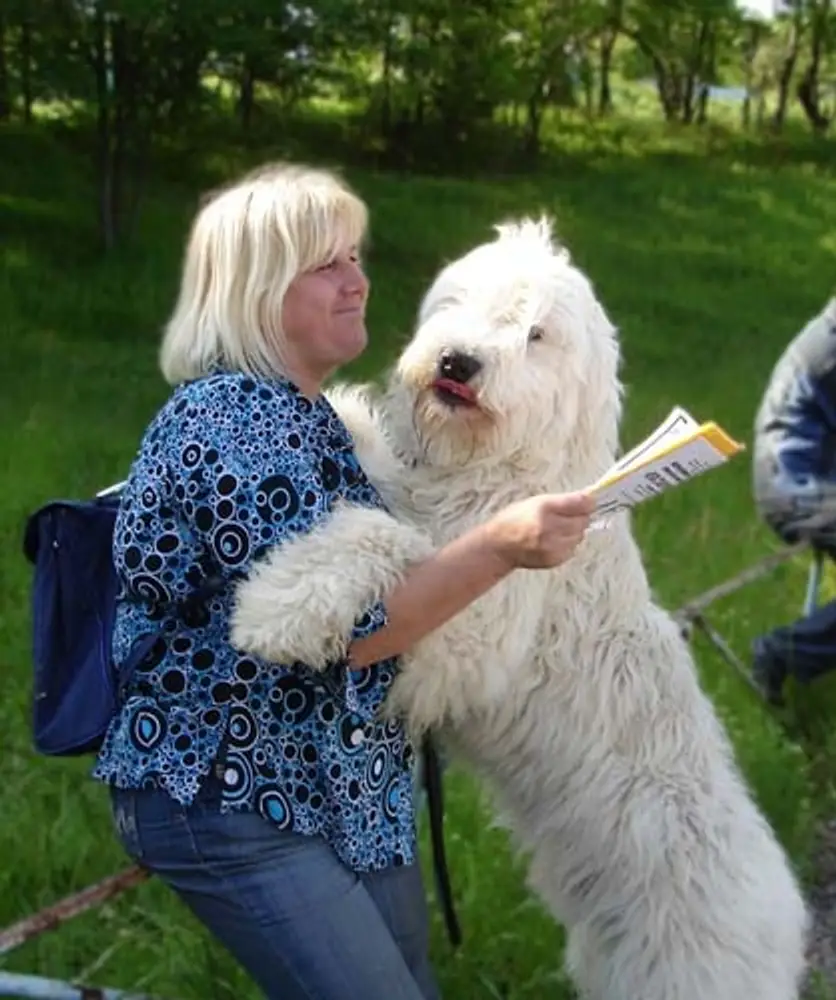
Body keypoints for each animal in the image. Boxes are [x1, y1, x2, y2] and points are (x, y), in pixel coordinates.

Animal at [230, 218, 810, 1000]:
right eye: (462, 300)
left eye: (536, 334)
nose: (459, 361)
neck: (495, 472)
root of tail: (786, 932)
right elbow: (379, 490)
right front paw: (347, 411)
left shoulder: (455, 653)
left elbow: (389, 537)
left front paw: (278, 607)